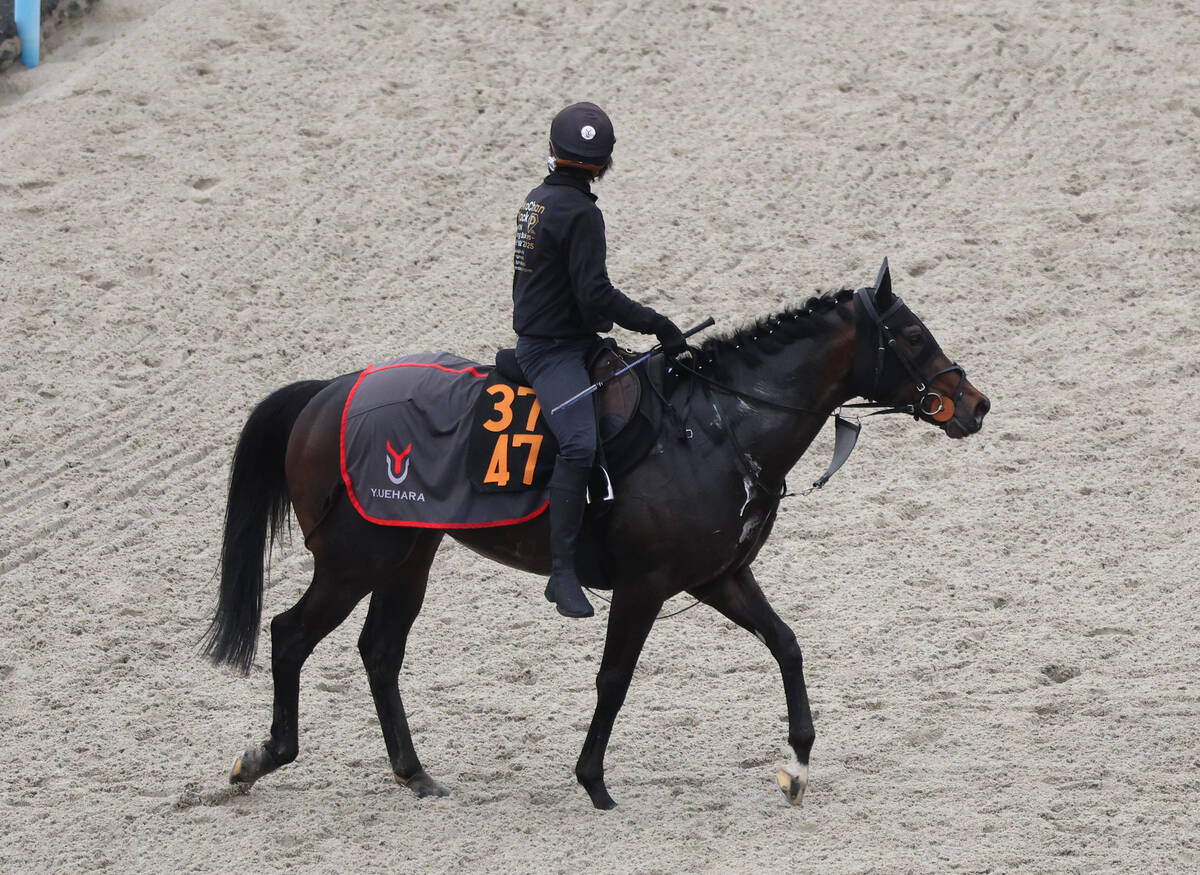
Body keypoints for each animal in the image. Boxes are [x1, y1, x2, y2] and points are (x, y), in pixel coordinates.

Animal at [202, 259, 990, 809]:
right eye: (912, 335)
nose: (976, 405)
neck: (716, 426)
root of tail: (329, 393)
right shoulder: (645, 587)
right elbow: (615, 677)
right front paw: (593, 780)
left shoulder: (719, 576)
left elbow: (787, 644)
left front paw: (796, 765)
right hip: (354, 561)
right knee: (291, 634)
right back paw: (264, 756)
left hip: (407, 557)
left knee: (379, 650)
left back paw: (415, 773)